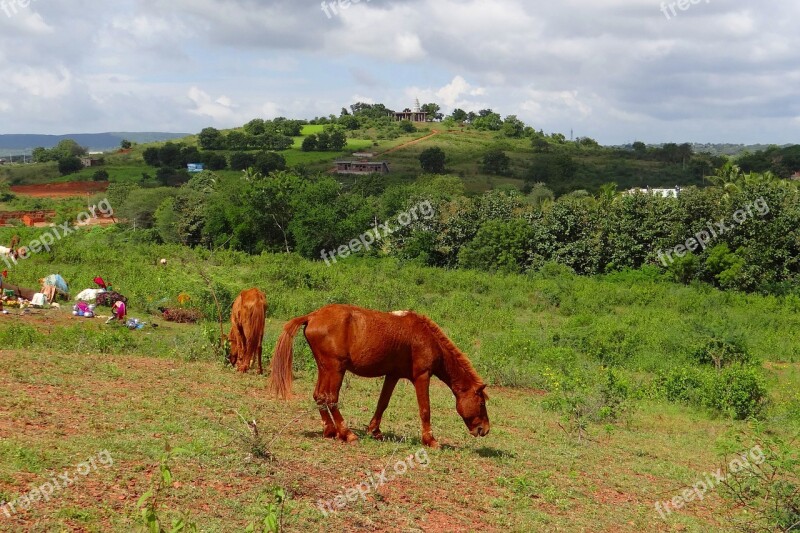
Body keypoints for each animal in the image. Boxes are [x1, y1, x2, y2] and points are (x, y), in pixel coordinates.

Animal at [272, 302, 490, 446]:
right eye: (481, 403)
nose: (485, 429)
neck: (426, 338)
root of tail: (312, 316)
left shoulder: (392, 375)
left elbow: (382, 403)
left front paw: (374, 431)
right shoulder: (422, 376)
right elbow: (425, 409)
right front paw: (430, 440)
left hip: (325, 369)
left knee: (319, 396)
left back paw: (330, 430)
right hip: (336, 369)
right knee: (331, 398)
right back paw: (347, 433)